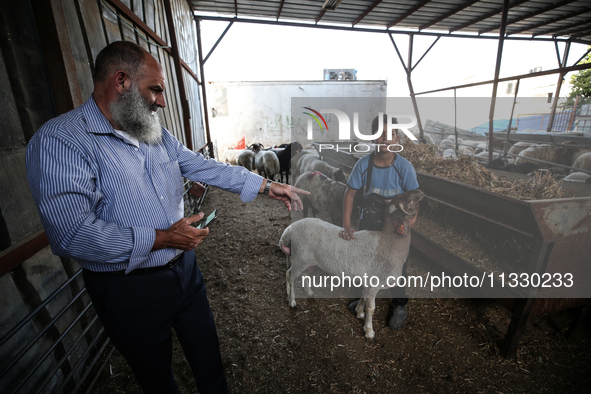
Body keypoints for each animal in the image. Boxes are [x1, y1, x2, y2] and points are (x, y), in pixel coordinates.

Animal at [278, 190, 424, 338]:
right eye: (407, 199)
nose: (420, 192)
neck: (387, 241)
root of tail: (288, 232)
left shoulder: (367, 281)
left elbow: (363, 298)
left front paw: (359, 312)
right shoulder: (374, 283)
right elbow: (371, 308)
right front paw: (369, 331)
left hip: (308, 260)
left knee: (305, 274)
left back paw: (309, 293)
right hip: (300, 257)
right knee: (289, 275)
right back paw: (292, 301)